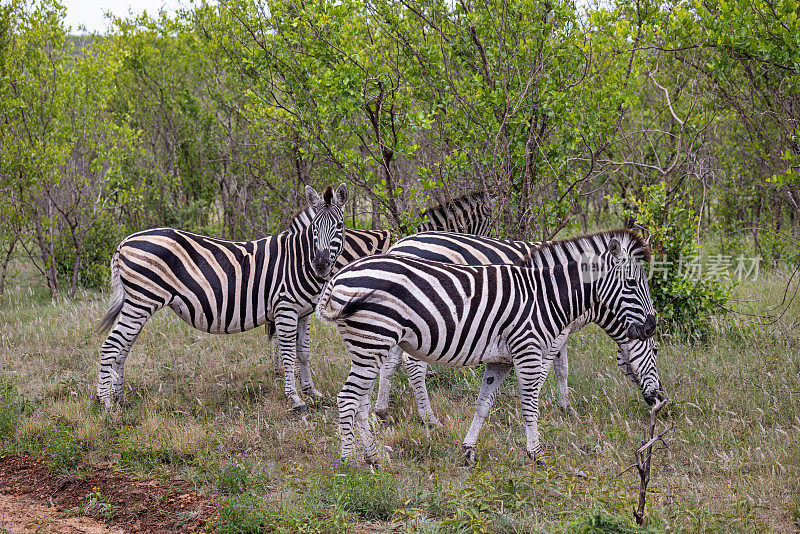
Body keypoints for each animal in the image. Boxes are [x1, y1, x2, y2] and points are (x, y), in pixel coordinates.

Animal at [96, 184, 346, 414]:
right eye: (314, 228)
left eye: (339, 226)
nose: (321, 265)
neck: (298, 259)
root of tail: (124, 243)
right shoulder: (285, 308)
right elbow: (288, 354)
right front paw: (295, 399)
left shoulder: (303, 312)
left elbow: (303, 352)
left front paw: (312, 392)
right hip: (142, 301)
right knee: (111, 345)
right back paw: (104, 403)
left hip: (137, 303)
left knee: (124, 346)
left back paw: (120, 399)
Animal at [318, 232, 656, 466]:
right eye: (631, 283)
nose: (652, 327)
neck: (545, 296)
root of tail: (340, 275)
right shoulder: (529, 350)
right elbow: (531, 403)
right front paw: (537, 453)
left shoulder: (500, 361)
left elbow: (483, 405)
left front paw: (468, 451)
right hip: (372, 340)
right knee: (348, 398)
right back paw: (350, 462)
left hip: (370, 346)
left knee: (361, 401)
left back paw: (373, 456)